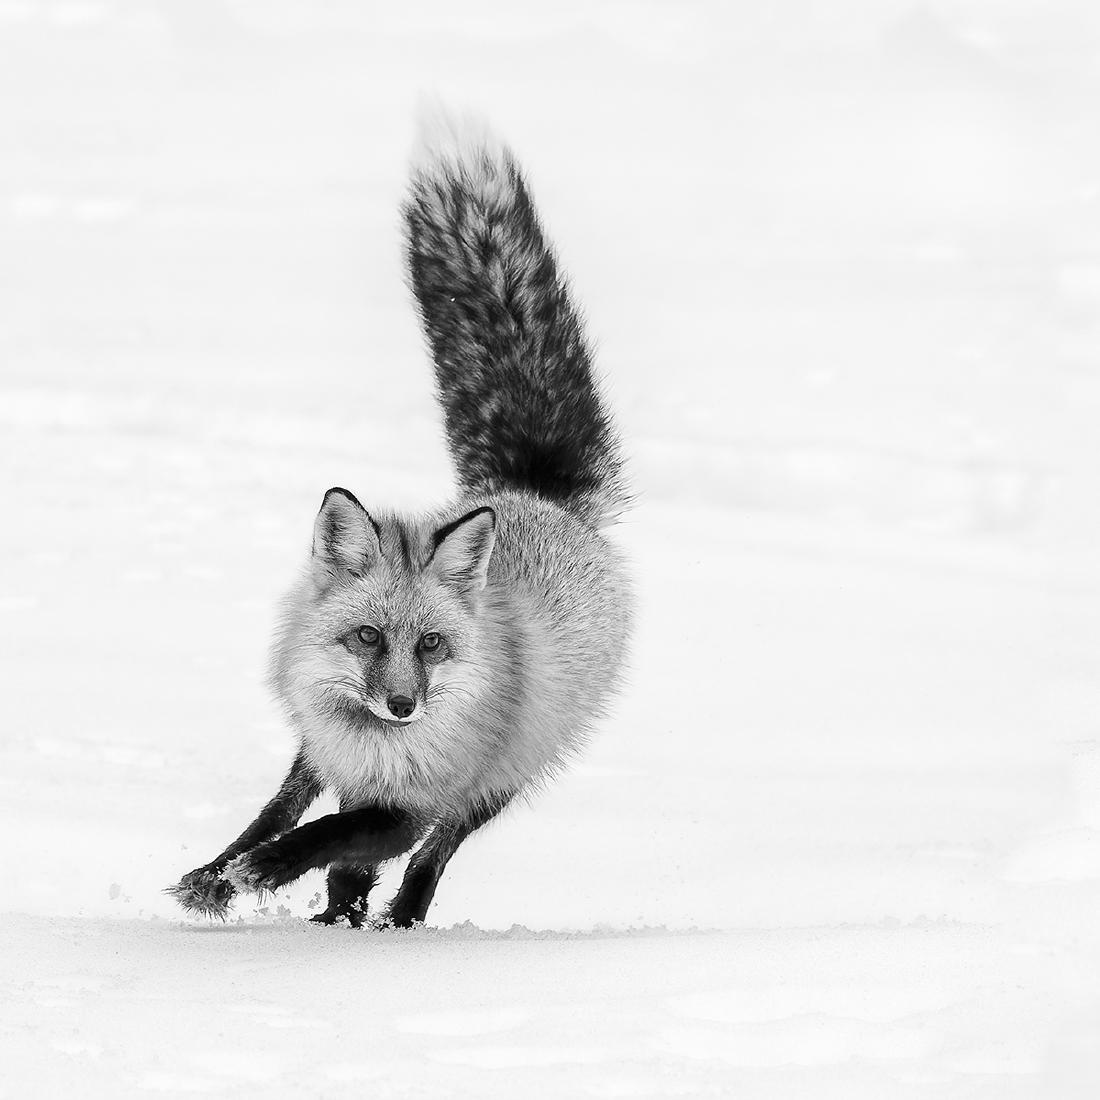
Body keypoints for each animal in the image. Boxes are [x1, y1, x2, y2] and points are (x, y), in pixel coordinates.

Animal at [169, 119, 632, 928]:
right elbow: (285, 820)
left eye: (432, 645)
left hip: (499, 782)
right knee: (299, 809)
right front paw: (221, 877)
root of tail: (535, 493)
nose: (403, 705)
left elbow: (340, 834)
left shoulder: (415, 801)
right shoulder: (331, 752)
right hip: (324, 753)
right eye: (366, 637)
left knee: (430, 856)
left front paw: (278, 874)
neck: (379, 745)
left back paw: (397, 922)